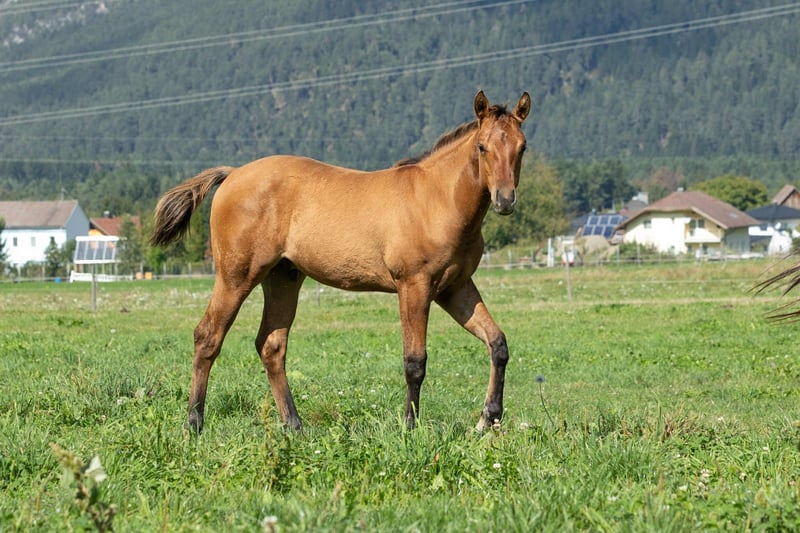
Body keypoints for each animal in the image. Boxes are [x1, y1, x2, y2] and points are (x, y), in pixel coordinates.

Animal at [151, 90, 531, 433]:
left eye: (522, 146)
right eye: (481, 146)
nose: (505, 200)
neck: (437, 200)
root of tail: (232, 174)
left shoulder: (454, 288)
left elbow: (498, 343)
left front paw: (489, 419)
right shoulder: (415, 285)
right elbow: (415, 362)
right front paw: (410, 427)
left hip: (283, 277)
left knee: (271, 346)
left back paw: (294, 426)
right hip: (236, 276)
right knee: (208, 337)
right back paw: (193, 424)